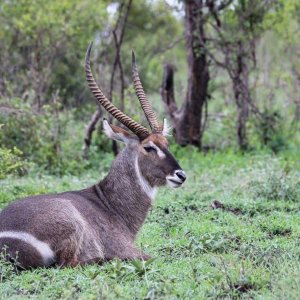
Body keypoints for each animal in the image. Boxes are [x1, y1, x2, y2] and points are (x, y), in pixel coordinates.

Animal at [0, 42, 186, 270]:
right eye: (149, 147)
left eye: (166, 144)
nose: (180, 175)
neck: (109, 204)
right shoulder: (129, 249)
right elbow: (153, 256)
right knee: (70, 263)